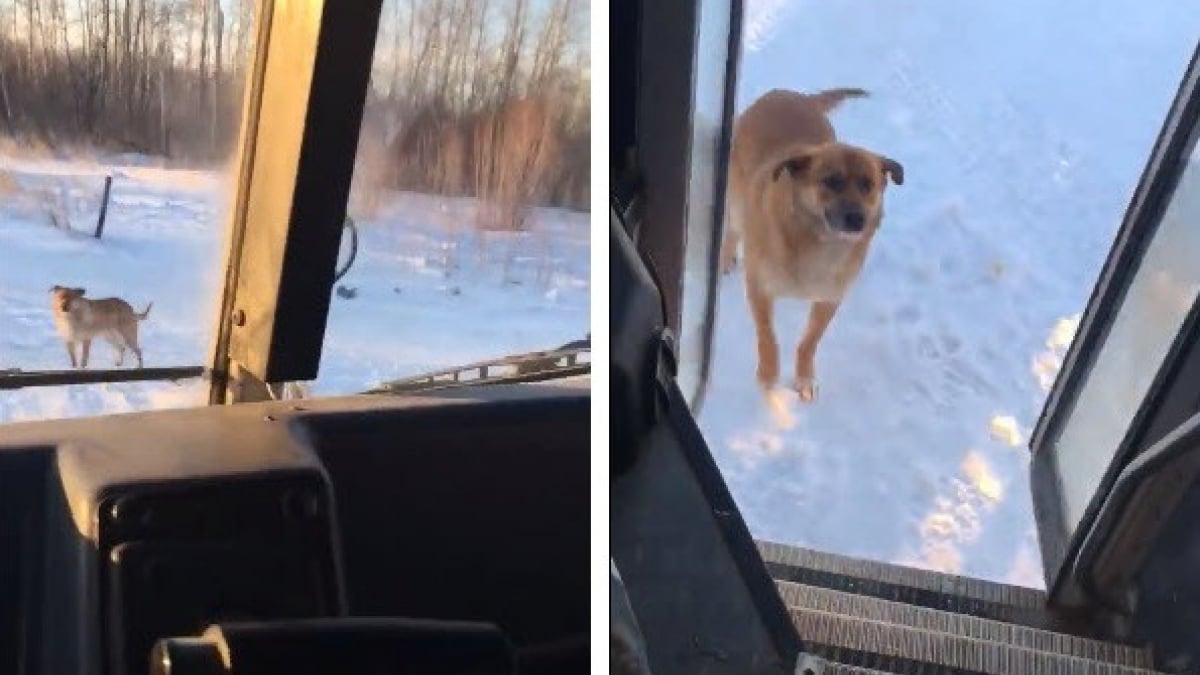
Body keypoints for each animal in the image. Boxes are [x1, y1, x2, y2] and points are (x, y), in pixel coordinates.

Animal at [720, 85, 902, 398]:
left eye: (868, 185)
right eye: (832, 181)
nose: (857, 219)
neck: (819, 243)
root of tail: (792, 93)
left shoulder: (829, 300)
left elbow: (809, 341)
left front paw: (804, 377)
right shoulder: (759, 287)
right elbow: (767, 335)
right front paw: (768, 375)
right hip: (736, 200)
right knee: (732, 229)